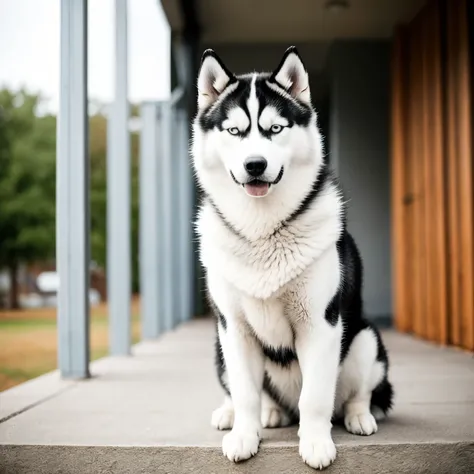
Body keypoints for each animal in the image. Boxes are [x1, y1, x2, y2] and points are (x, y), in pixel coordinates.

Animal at [189, 45, 392, 470]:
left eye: (275, 129)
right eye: (234, 132)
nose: (255, 165)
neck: (262, 232)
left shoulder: (321, 323)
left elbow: (314, 397)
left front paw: (315, 442)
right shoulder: (233, 327)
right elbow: (245, 393)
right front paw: (244, 434)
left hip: (365, 338)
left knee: (357, 393)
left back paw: (359, 416)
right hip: (219, 346)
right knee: (246, 393)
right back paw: (250, 413)